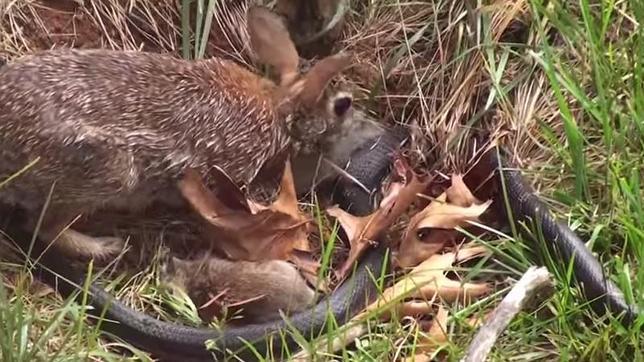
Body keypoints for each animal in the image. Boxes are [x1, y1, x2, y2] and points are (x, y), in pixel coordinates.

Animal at [0, 5, 354, 260]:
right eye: (339, 107)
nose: (348, 117)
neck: (278, 107)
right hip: (107, 173)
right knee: (44, 227)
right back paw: (103, 247)